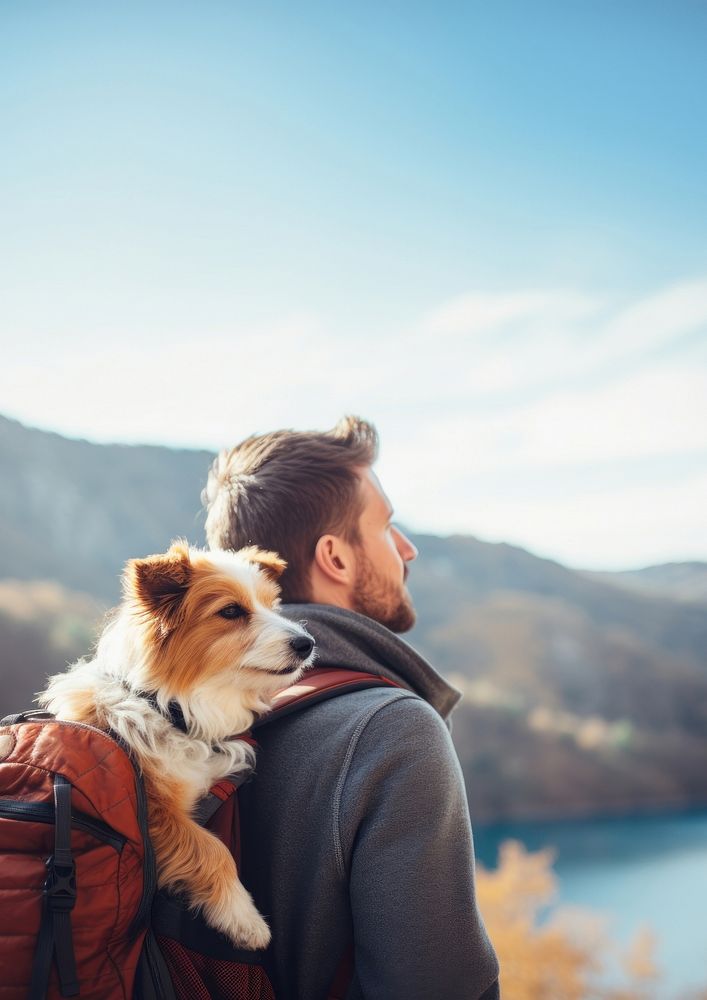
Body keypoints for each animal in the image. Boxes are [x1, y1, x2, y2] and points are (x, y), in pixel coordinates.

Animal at [38, 544, 316, 948]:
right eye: (231, 611)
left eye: (272, 605)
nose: (307, 644)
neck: (171, 710)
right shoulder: (151, 815)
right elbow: (213, 848)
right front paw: (244, 917)